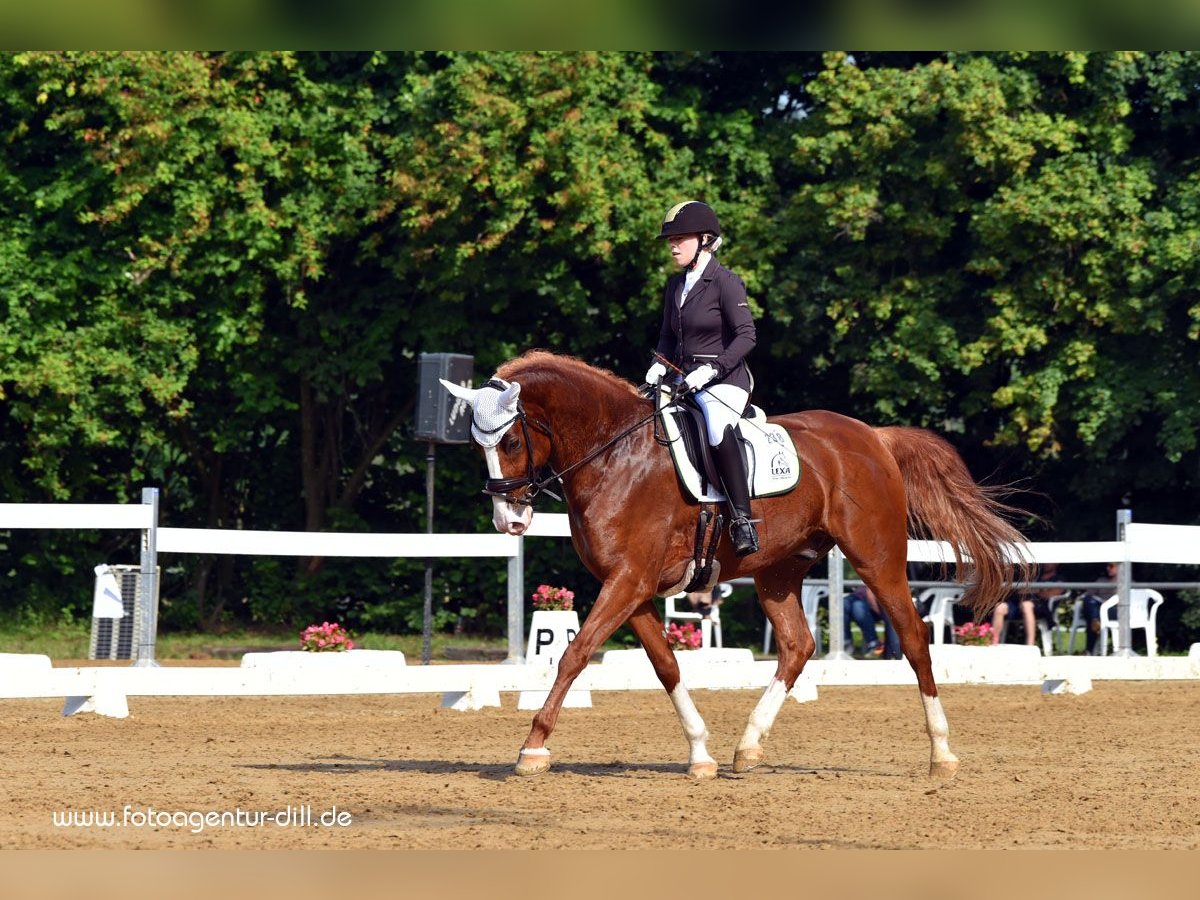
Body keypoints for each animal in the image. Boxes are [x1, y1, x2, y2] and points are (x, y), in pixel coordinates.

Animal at [444, 350, 1032, 782]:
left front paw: (532, 747)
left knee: (912, 638)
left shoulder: (627, 582)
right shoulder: (632, 586)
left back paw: (941, 754)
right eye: (474, 444)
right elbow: (666, 665)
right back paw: (747, 747)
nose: (509, 520)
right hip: (777, 572)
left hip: (878, 559)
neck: (615, 456)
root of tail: (873, 436)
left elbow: (575, 655)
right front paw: (700, 754)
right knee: (797, 646)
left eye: (511, 440)